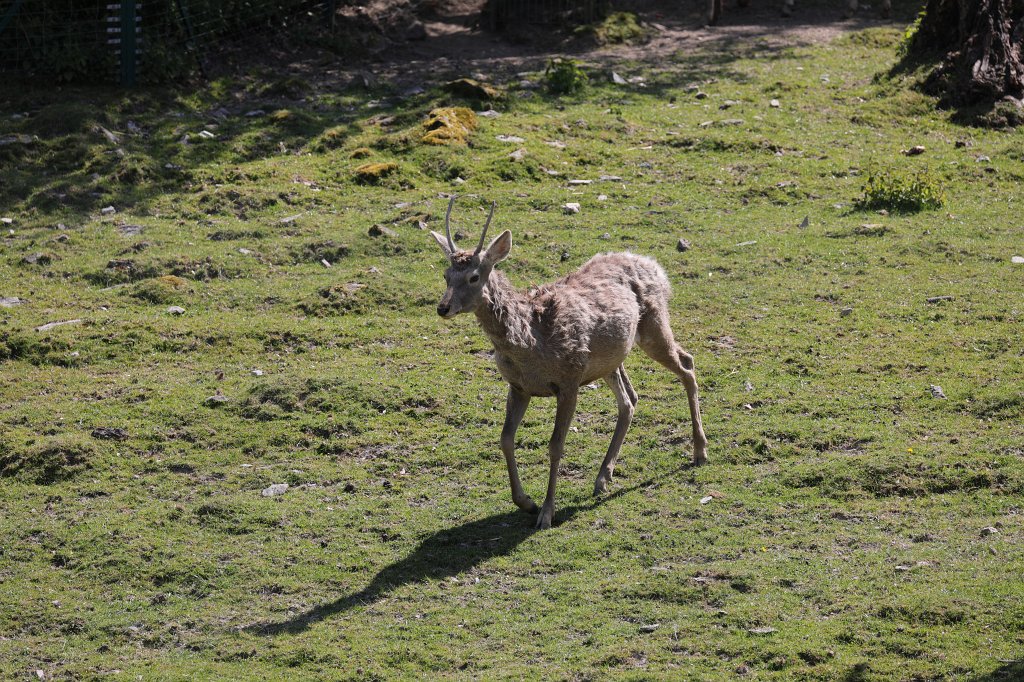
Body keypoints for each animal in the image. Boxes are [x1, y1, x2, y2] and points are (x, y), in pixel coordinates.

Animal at [429, 197, 708, 529]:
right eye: (445, 275)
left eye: (473, 276)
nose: (443, 307)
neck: (529, 343)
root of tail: (657, 267)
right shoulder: (518, 386)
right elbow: (506, 439)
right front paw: (526, 502)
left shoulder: (569, 381)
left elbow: (555, 445)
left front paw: (547, 513)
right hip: (610, 359)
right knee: (630, 399)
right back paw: (603, 477)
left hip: (653, 325)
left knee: (687, 364)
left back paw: (700, 451)